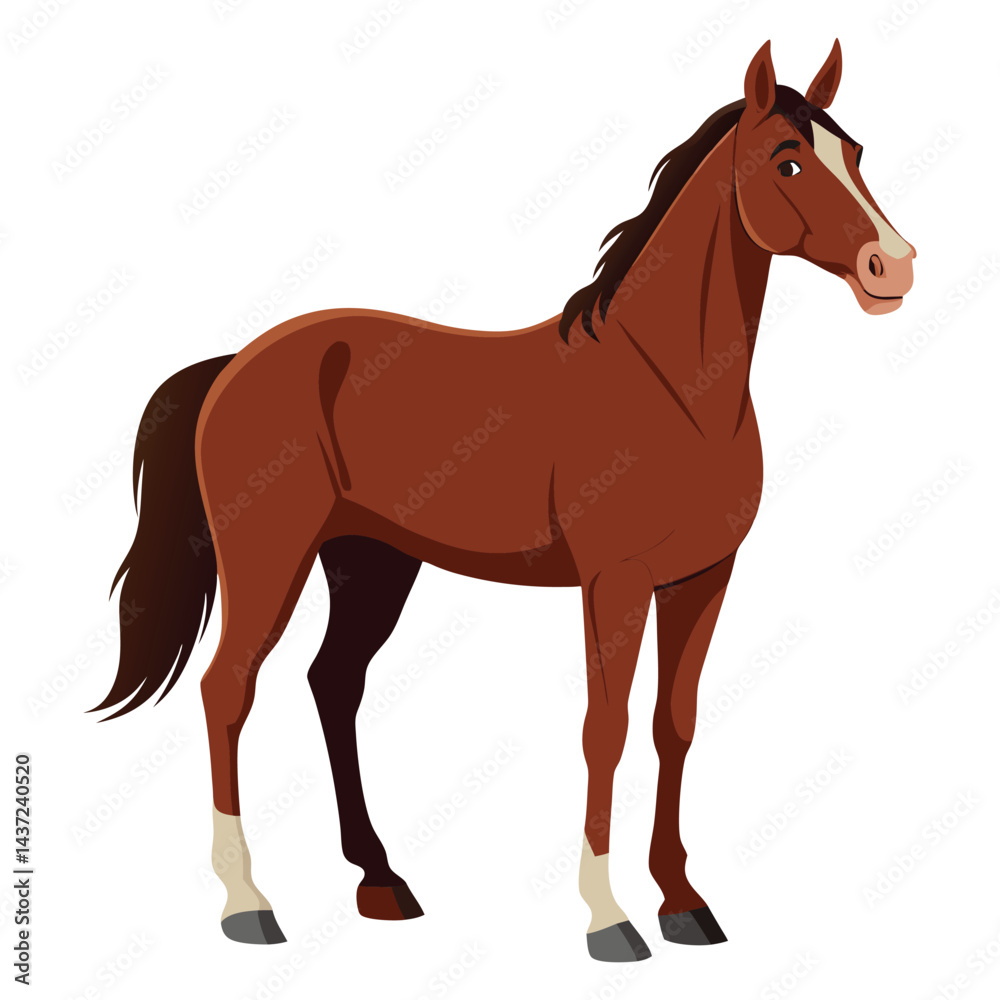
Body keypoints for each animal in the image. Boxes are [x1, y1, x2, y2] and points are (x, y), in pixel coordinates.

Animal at [93, 40, 915, 962]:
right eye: (788, 159)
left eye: (857, 155)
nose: (894, 266)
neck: (670, 387)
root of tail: (235, 362)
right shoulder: (613, 583)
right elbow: (606, 728)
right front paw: (608, 916)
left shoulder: (703, 578)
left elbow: (674, 726)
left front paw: (683, 904)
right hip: (272, 556)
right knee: (227, 690)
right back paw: (247, 903)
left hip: (371, 562)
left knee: (333, 683)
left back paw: (381, 881)